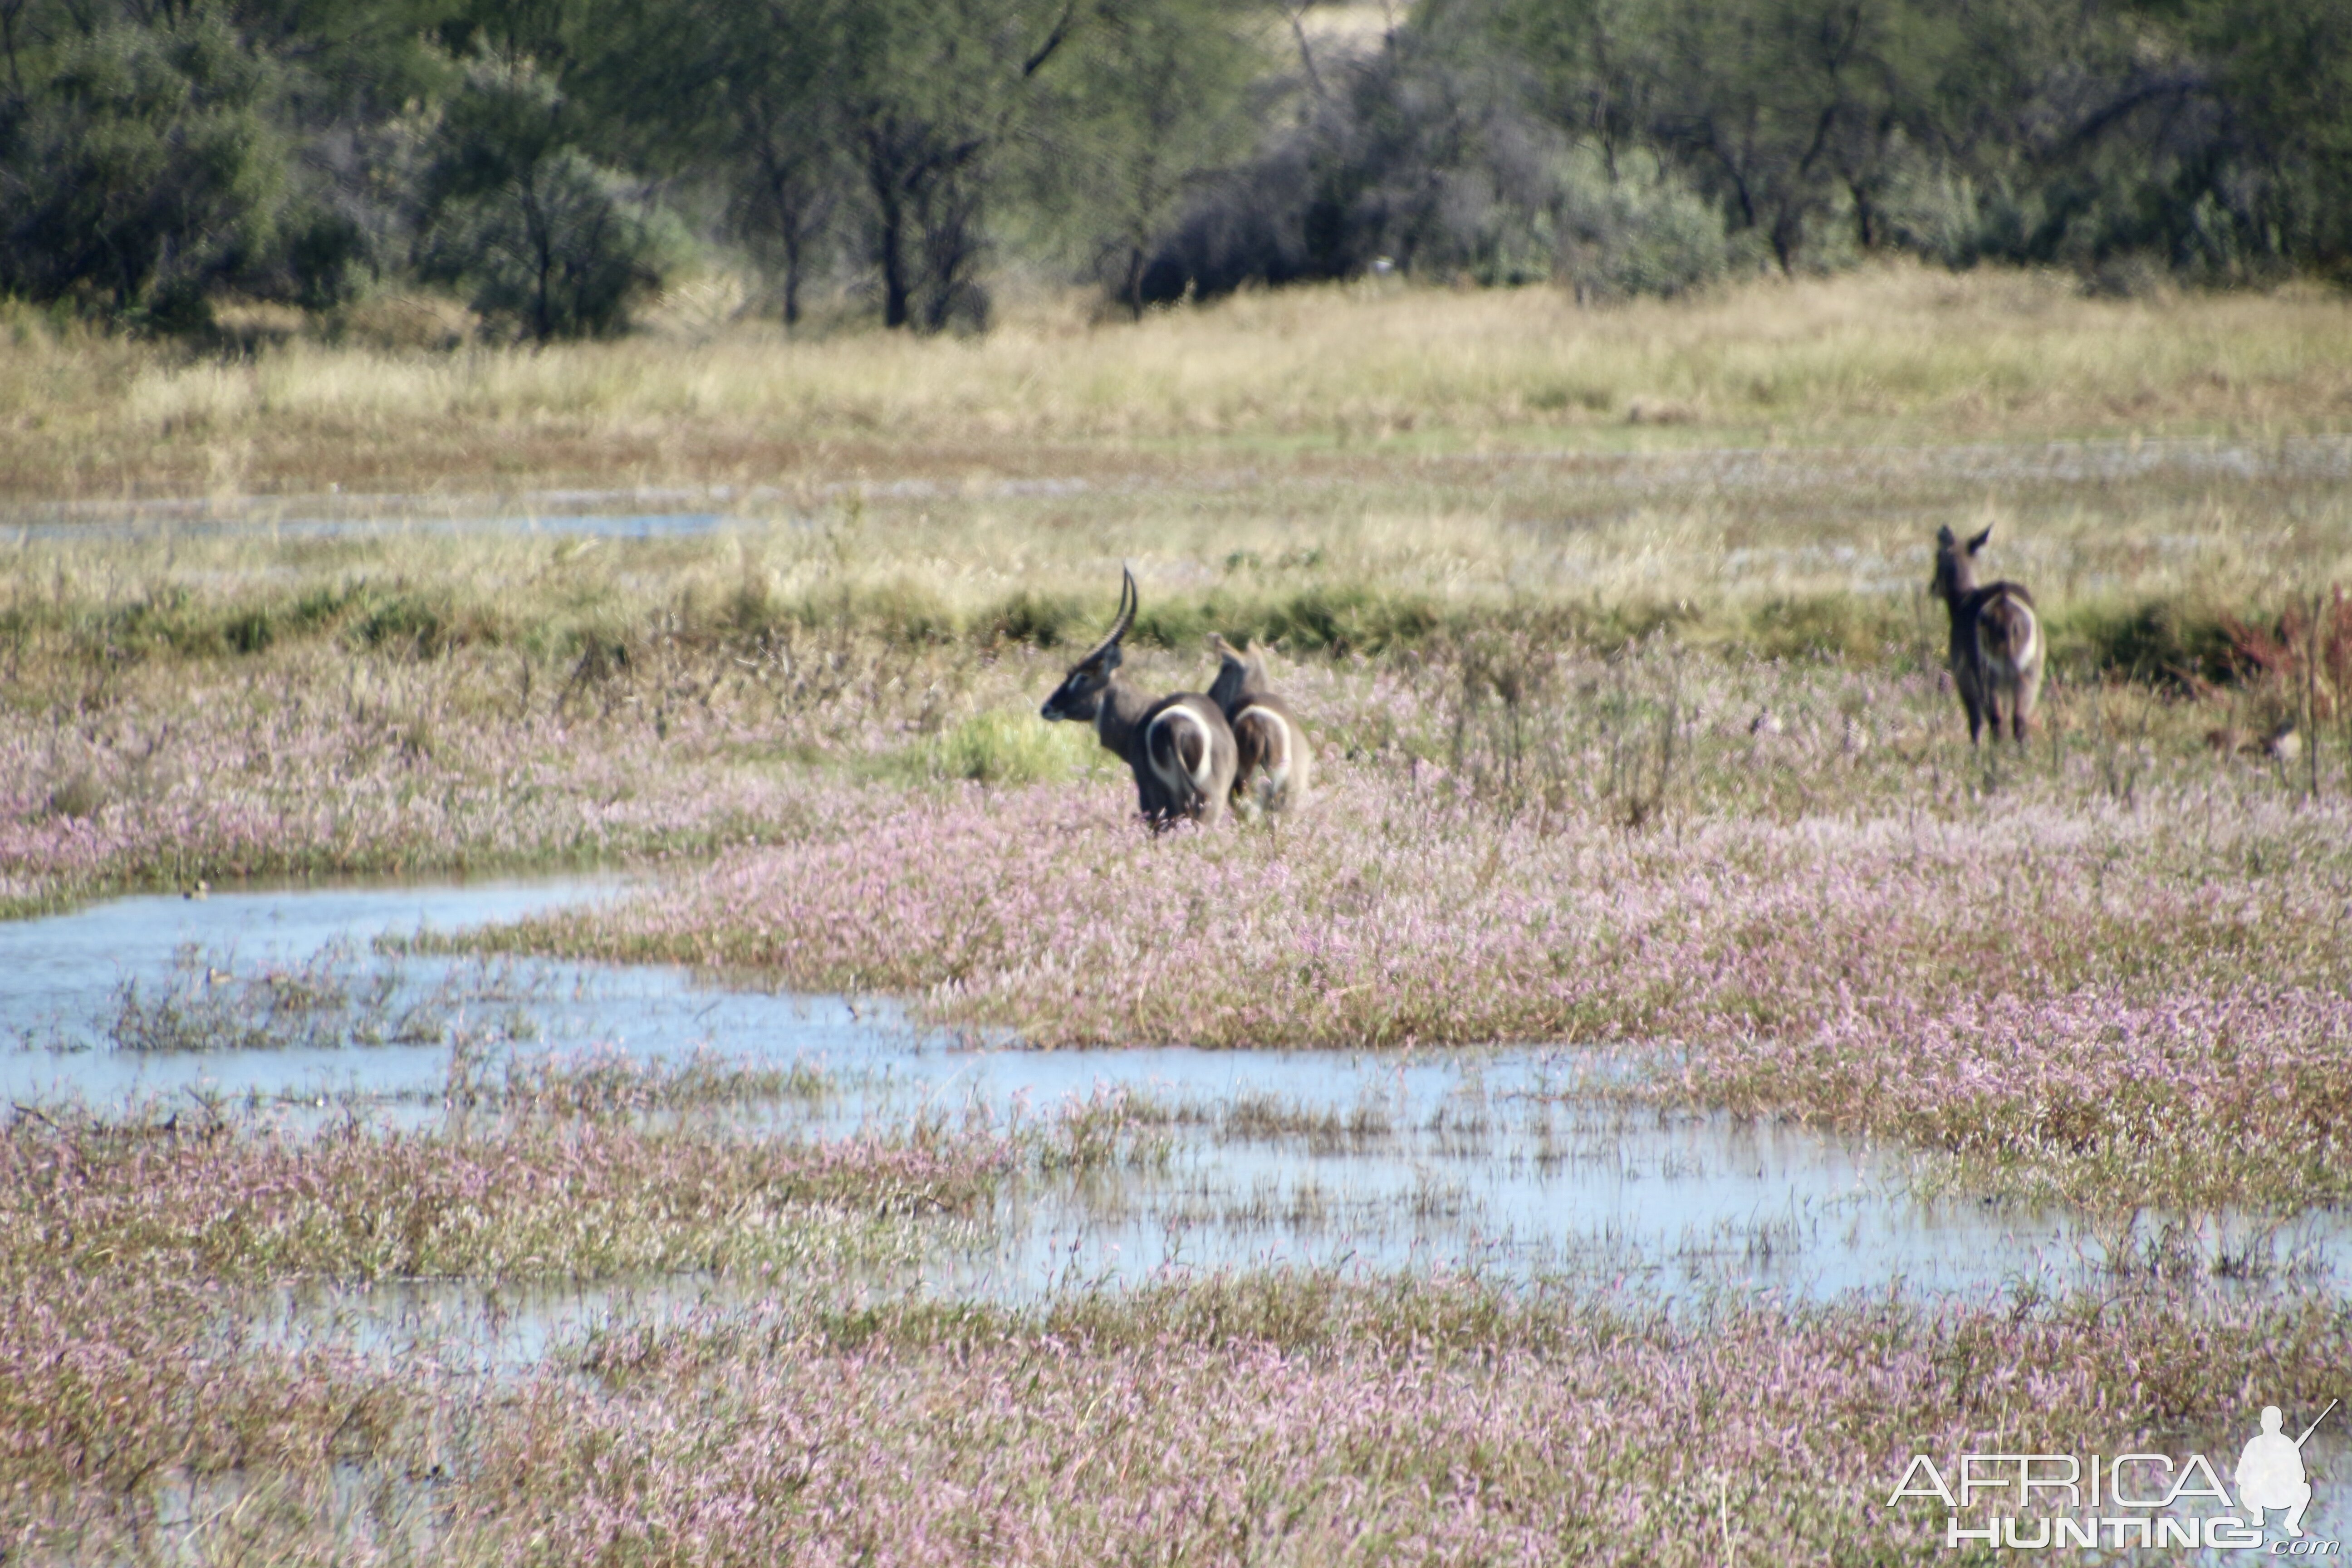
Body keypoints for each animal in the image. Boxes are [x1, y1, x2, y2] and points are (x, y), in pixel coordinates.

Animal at [1928, 526, 2041, 747]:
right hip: (2030, 674)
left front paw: (1975, 747)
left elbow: (1975, 719)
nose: (1933, 588)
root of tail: (2004, 603)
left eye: (1938, 555)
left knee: (1996, 719)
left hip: (1987, 676)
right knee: (2019, 719)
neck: (1963, 601)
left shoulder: (1963, 676)